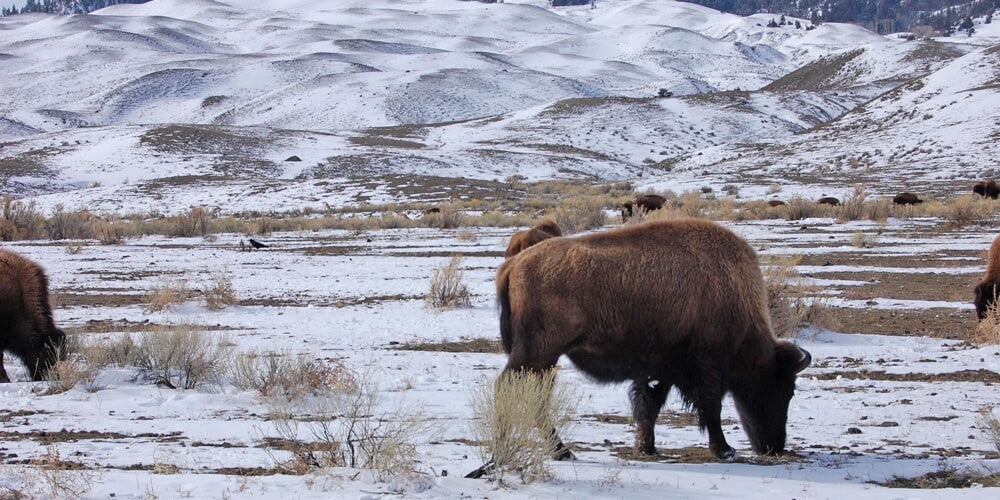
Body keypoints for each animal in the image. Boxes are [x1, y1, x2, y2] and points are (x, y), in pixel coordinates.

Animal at [494, 219, 812, 460]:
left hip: (545, 360)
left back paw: (560, 452)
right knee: (507, 388)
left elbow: (651, 404)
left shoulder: (663, 367)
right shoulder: (707, 364)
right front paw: (725, 450)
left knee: (534, 397)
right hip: (537, 354)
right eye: (784, 389)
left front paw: (646, 446)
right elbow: (711, 407)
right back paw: (517, 445)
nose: (774, 447)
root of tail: (515, 264)